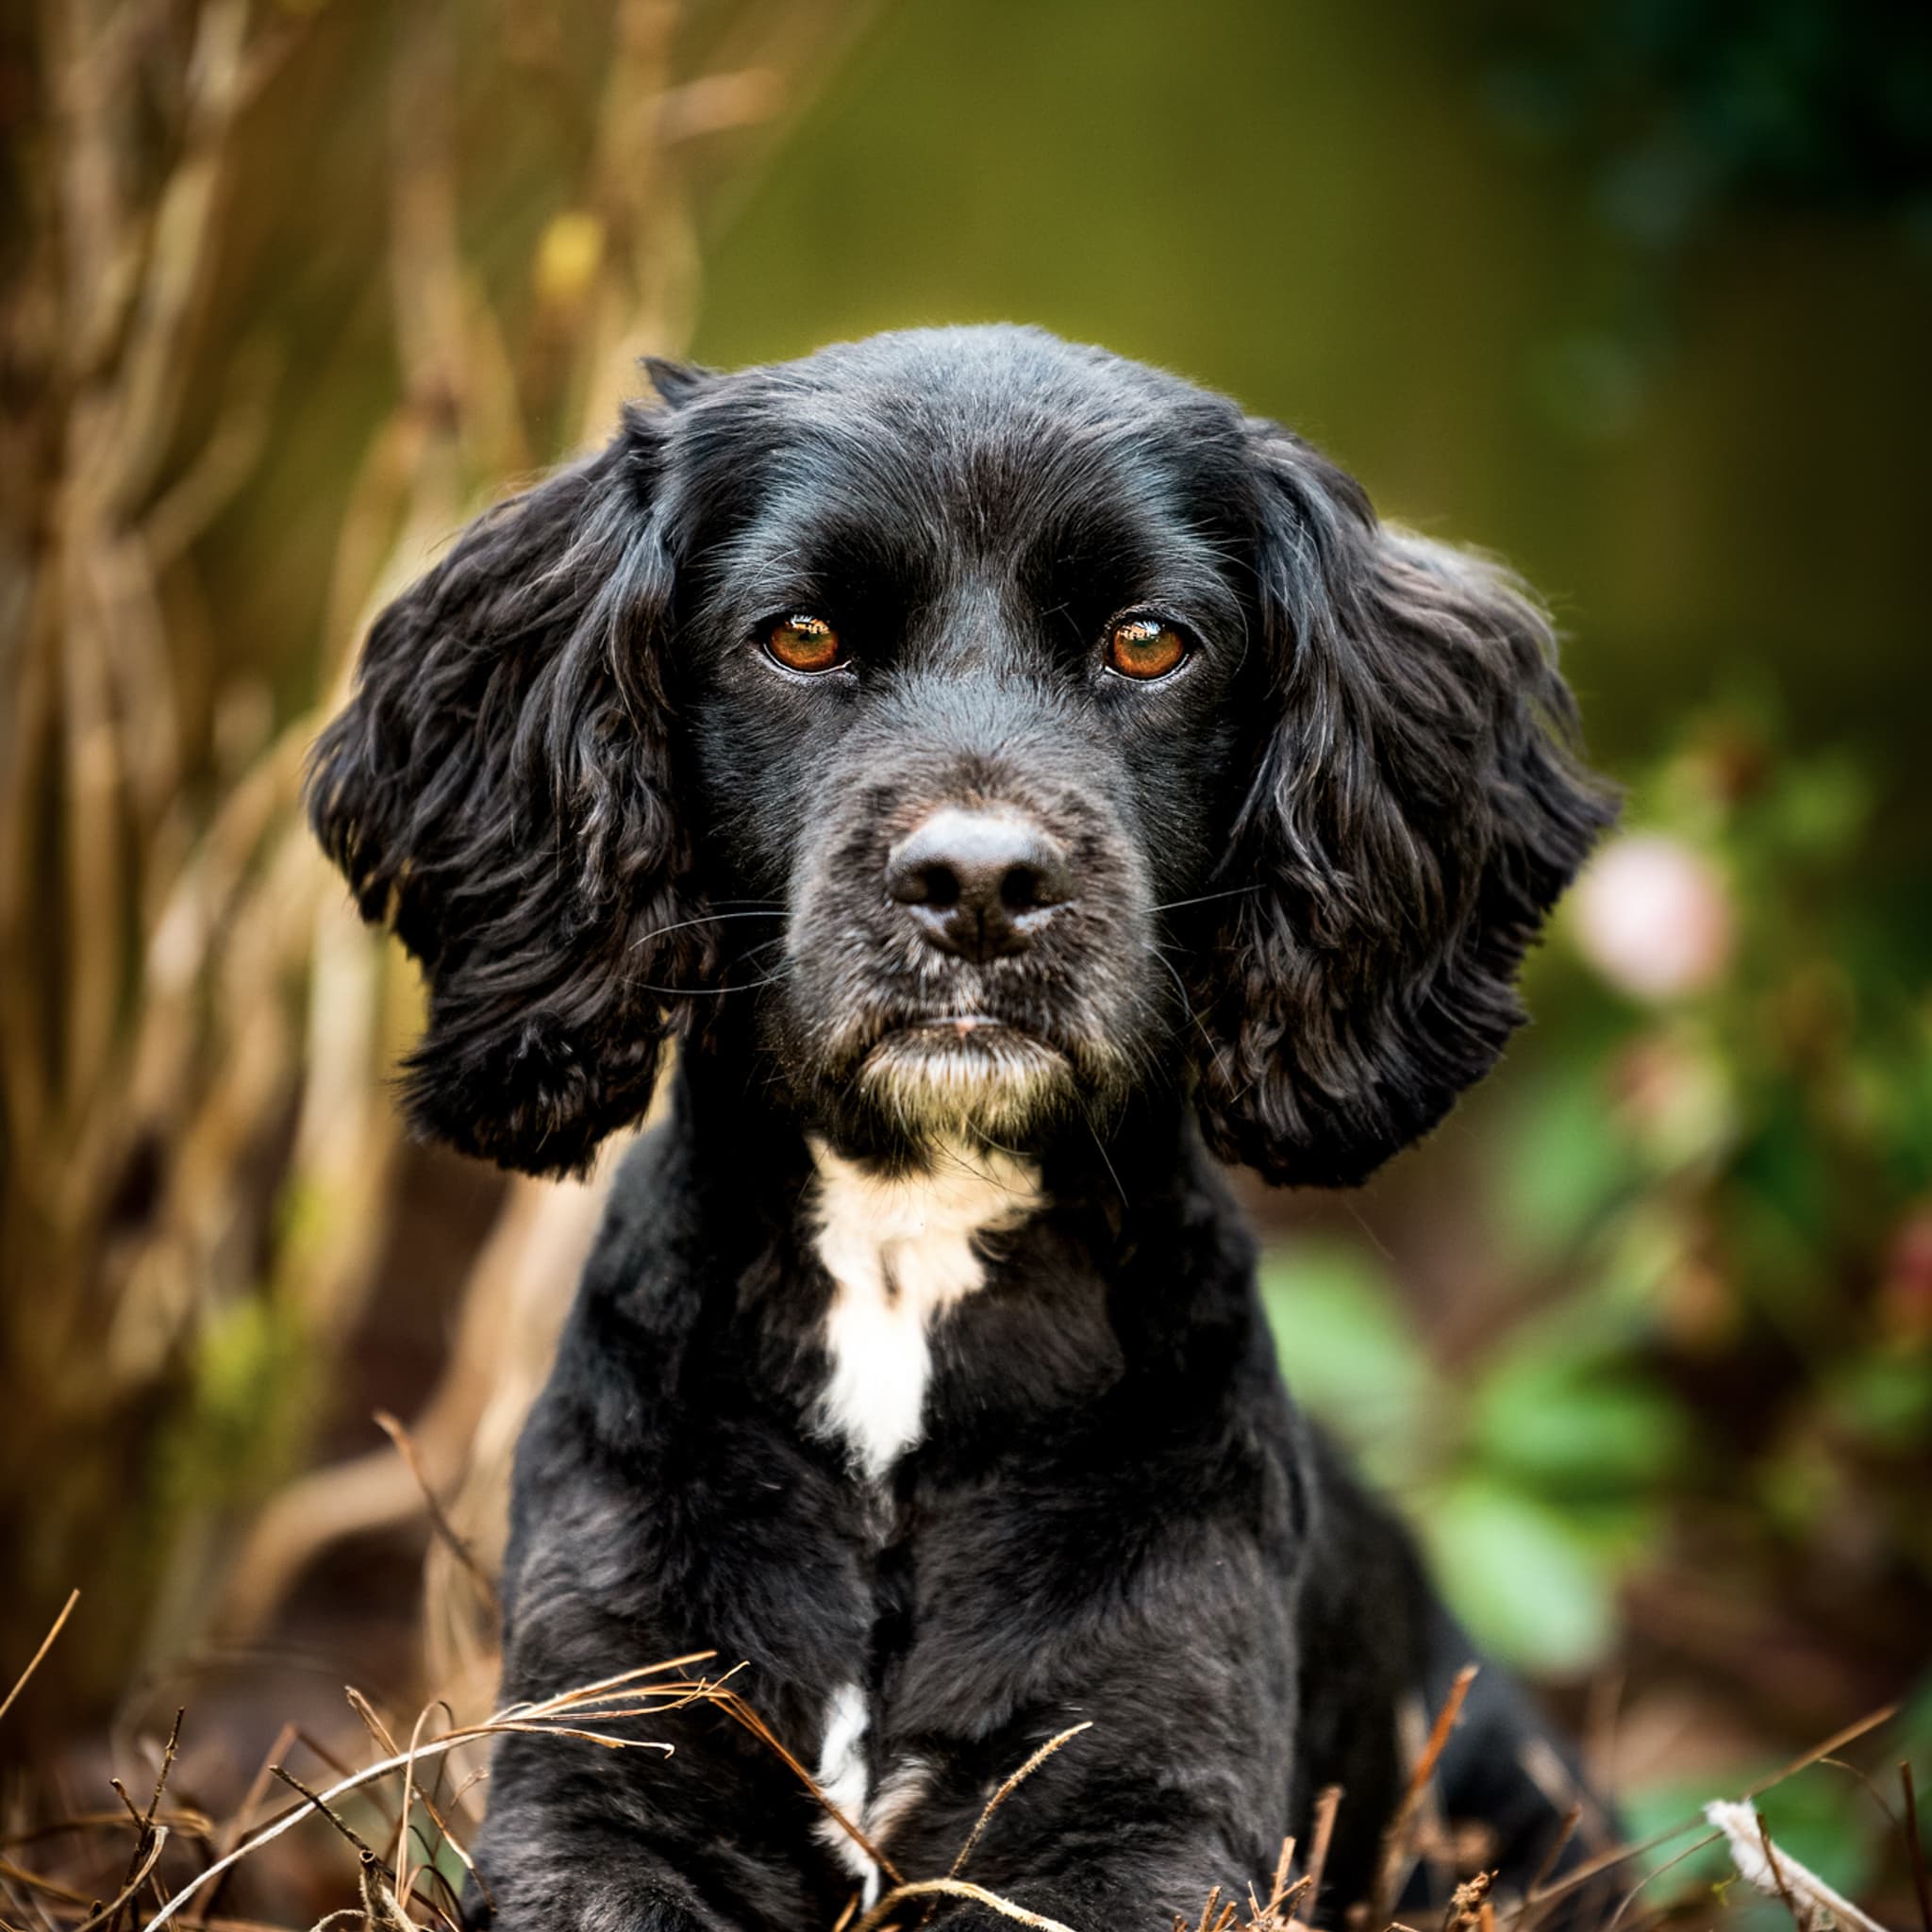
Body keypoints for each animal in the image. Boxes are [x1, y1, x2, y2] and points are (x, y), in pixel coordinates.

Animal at [312, 325, 1615, 1924]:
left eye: (1149, 642)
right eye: (802, 637)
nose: (981, 882)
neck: (910, 1250)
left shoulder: (1139, 1803)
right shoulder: (605, 1762)